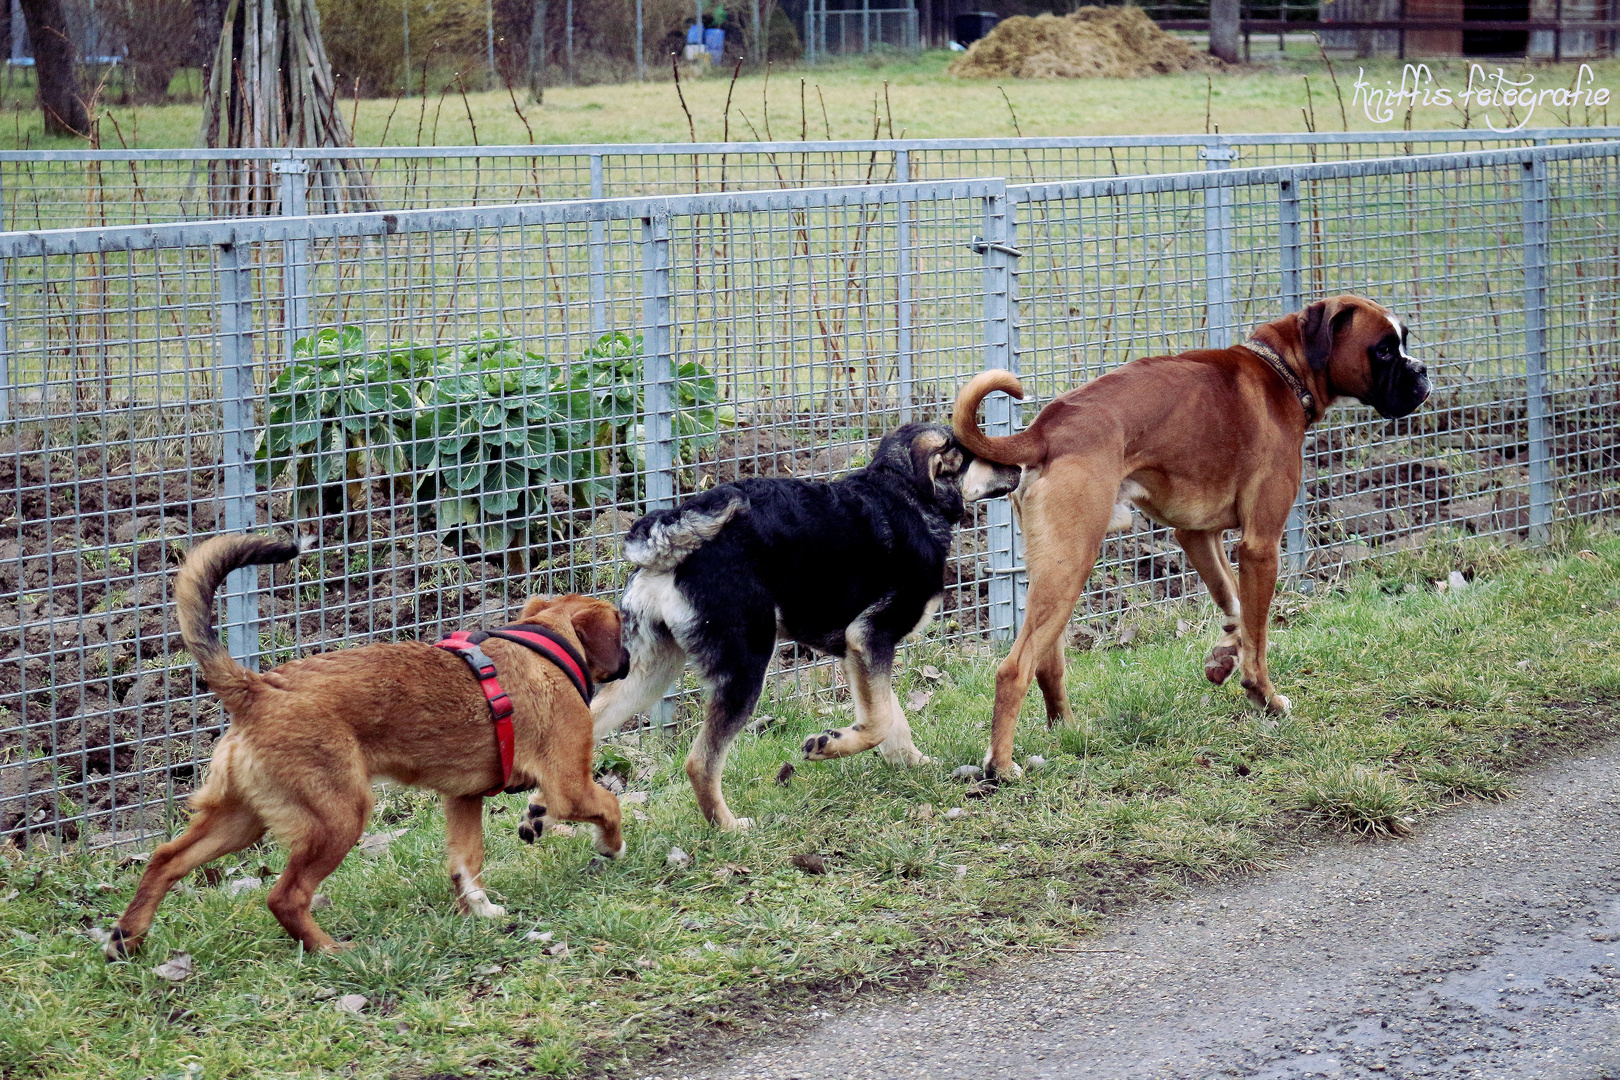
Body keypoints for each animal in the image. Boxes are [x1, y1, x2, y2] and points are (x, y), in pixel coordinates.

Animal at [104, 537, 628, 958]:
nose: (628, 659)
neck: (547, 646)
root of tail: (258, 689)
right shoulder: (569, 788)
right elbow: (610, 805)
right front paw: (610, 847)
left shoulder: (463, 799)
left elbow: (466, 863)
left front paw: (480, 910)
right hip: (338, 816)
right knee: (285, 896)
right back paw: (330, 950)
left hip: (241, 820)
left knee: (165, 860)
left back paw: (126, 939)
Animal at [547, 427, 1010, 835]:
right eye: (983, 452)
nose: (1019, 466)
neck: (907, 492)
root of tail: (669, 535)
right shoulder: (869, 636)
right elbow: (879, 721)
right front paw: (830, 746)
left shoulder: (860, 651)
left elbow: (890, 716)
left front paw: (911, 764)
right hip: (745, 665)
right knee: (701, 762)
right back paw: (729, 827)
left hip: (648, 673)